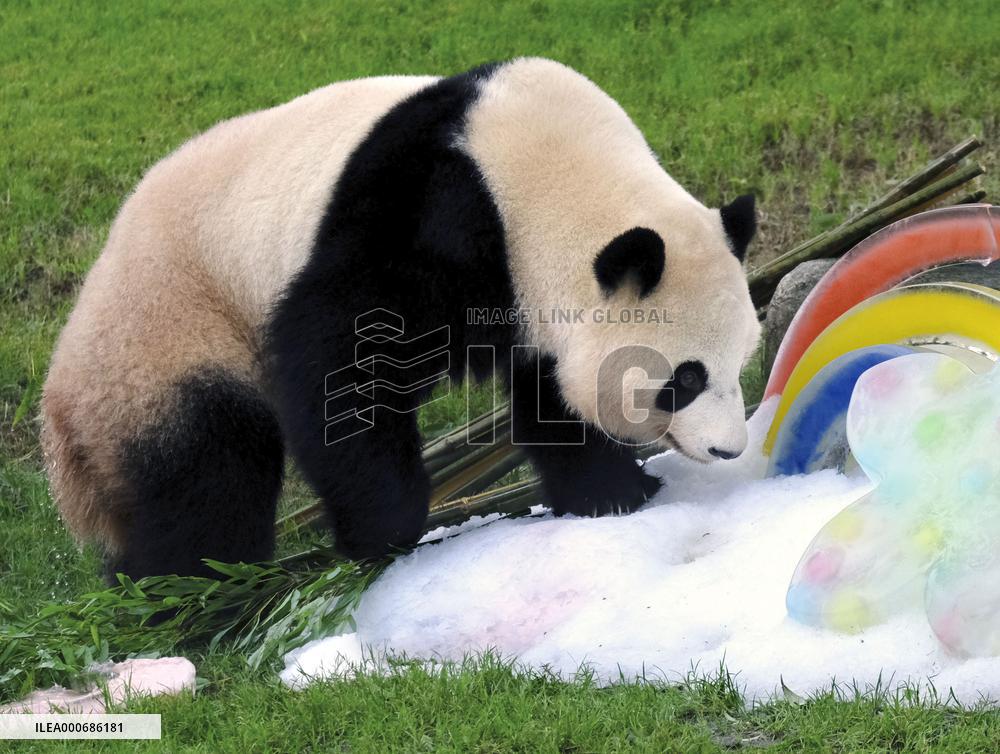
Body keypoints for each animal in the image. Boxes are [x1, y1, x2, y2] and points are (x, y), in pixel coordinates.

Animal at [41, 58, 761, 581]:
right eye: (685, 379)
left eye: (741, 364)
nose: (729, 449)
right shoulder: (435, 213)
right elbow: (338, 350)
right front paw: (384, 529)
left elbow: (551, 393)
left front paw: (613, 493)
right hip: (169, 329)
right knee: (205, 470)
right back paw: (188, 588)